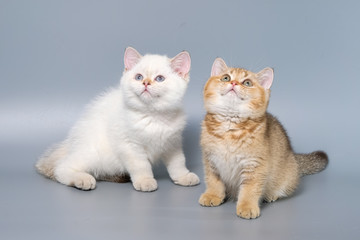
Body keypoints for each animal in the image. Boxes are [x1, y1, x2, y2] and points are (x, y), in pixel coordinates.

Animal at [36, 47, 200, 191]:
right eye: (139, 77)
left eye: (160, 79)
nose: (146, 83)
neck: (153, 116)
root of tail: (70, 144)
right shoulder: (130, 145)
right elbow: (141, 166)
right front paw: (145, 181)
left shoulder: (173, 143)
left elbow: (178, 162)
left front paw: (183, 176)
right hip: (94, 152)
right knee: (62, 168)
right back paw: (82, 179)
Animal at [198, 58, 328, 219]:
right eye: (226, 78)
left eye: (247, 82)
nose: (233, 83)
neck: (230, 128)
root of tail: (294, 158)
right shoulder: (211, 161)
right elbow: (213, 181)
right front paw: (213, 195)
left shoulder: (255, 165)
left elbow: (250, 188)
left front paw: (247, 206)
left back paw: (271, 195)